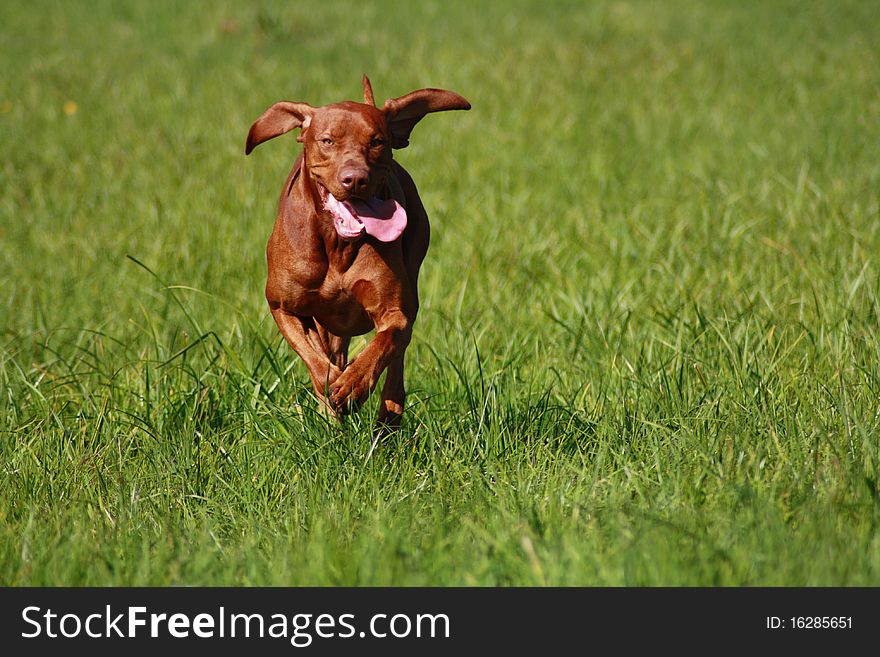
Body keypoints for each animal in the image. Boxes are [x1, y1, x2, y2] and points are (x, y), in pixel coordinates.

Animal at [244, 77, 470, 434]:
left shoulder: (395, 313)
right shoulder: (283, 307)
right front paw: (333, 391)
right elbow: (316, 362)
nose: (355, 179)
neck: (338, 244)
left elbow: (383, 345)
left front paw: (353, 384)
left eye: (377, 141)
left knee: (396, 365)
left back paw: (387, 418)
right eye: (327, 140)